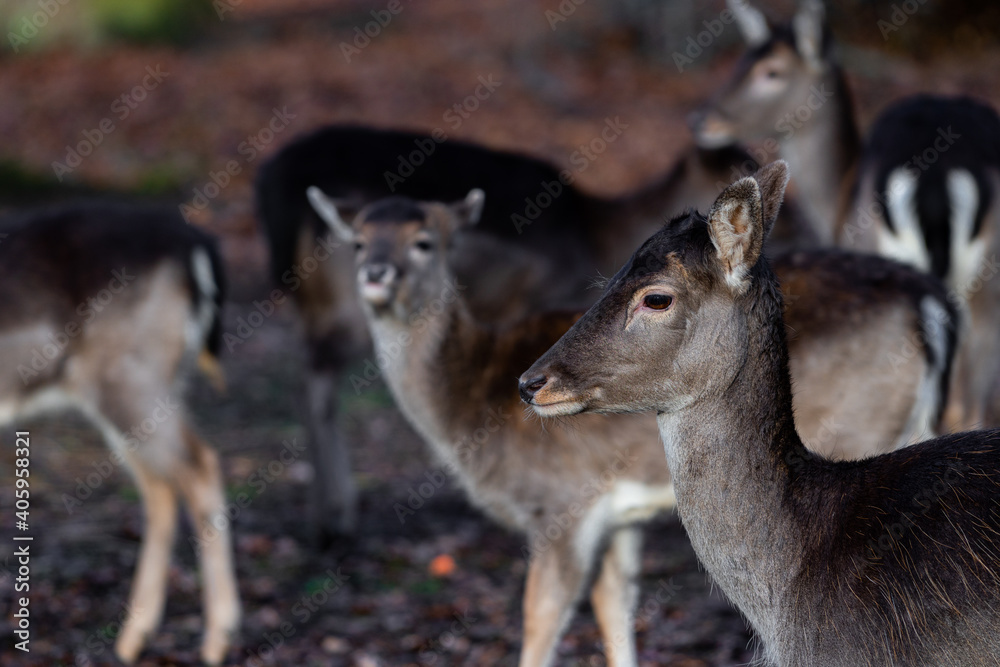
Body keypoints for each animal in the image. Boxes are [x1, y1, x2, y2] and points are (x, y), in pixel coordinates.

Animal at [0, 204, 240, 664]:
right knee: (161, 484)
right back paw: (134, 638)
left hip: (131, 376)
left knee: (197, 464)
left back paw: (218, 638)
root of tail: (196, 242)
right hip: (147, 385)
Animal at [308, 184, 956, 667]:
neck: (466, 403)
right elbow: (615, 612)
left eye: (425, 242)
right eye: (356, 239)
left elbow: (539, 623)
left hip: (862, 431)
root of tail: (932, 302)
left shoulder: (561, 502)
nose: (376, 273)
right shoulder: (616, 515)